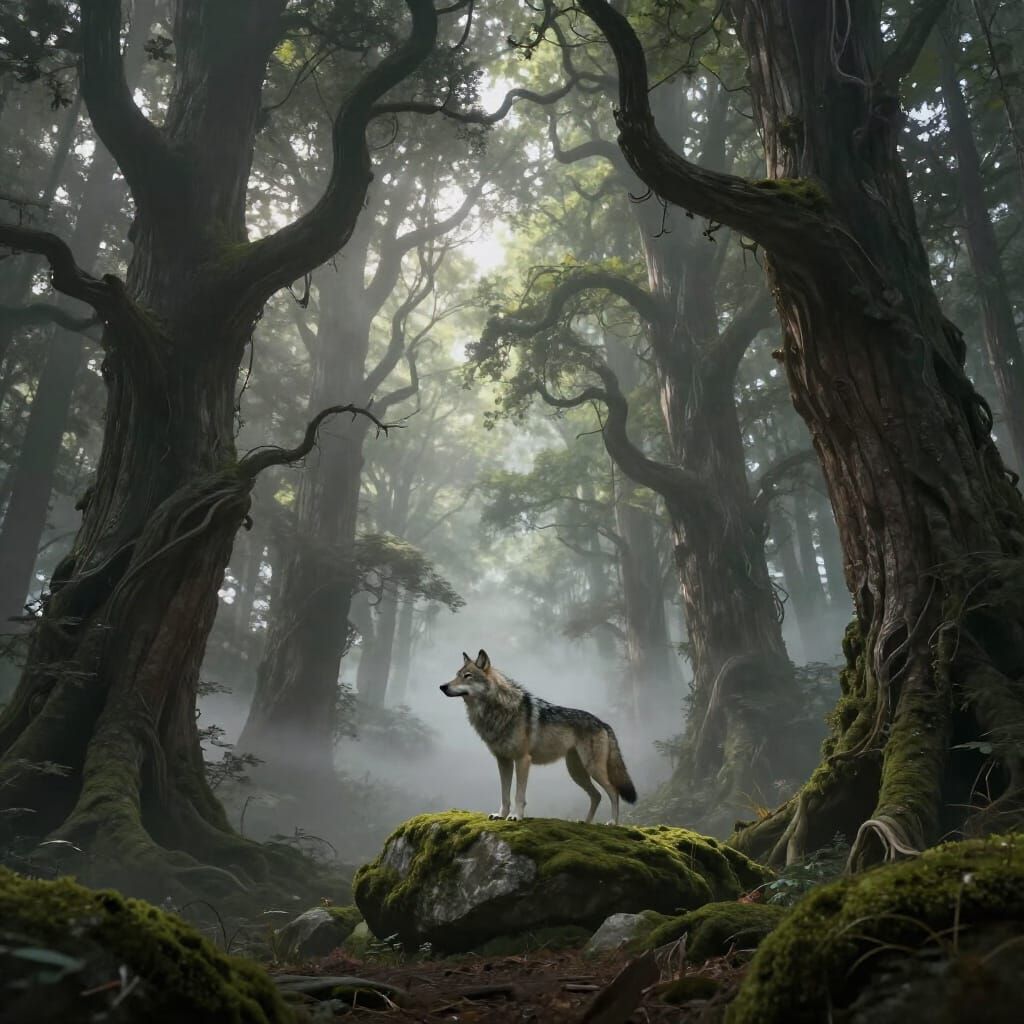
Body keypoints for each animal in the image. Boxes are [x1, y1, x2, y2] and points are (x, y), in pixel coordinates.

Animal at [440, 649, 637, 824]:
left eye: (467, 676)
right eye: (456, 675)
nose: (442, 686)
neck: (497, 711)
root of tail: (603, 723)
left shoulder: (522, 760)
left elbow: (519, 795)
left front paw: (515, 816)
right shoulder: (503, 761)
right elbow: (504, 795)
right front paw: (501, 815)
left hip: (593, 769)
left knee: (613, 792)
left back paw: (612, 823)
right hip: (576, 771)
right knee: (596, 796)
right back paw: (585, 822)